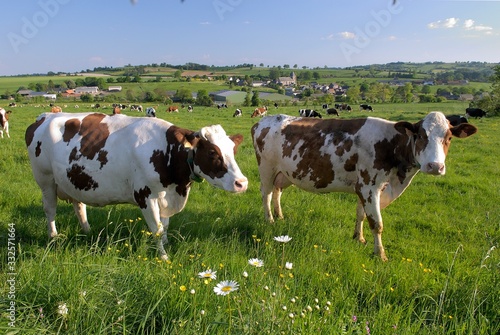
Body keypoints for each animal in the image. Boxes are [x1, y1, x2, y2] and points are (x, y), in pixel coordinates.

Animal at [25, 112, 248, 260]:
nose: (242, 183)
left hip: (73, 179)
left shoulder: (165, 197)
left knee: (79, 206)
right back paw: (53, 237)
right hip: (45, 179)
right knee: (50, 209)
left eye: (233, 150)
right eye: (212, 152)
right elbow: (157, 229)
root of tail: (44, 117)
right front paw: (164, 257)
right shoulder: (145, 196)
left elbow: (165, 227)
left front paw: (166, 244)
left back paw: (87, 232)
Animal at [252, 111, 478, 262]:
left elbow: (361, 214)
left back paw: (280, 216)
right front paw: (380, 255)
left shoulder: (365, 187)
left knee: (277, 192)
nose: (435, 166)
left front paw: (358, 238)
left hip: (285, 174)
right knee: (266, 194)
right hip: (266, 168)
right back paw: (269, 219)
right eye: (421, 136)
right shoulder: (369, 186)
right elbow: (376, 223)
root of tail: (264, 120)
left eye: (448, 137)